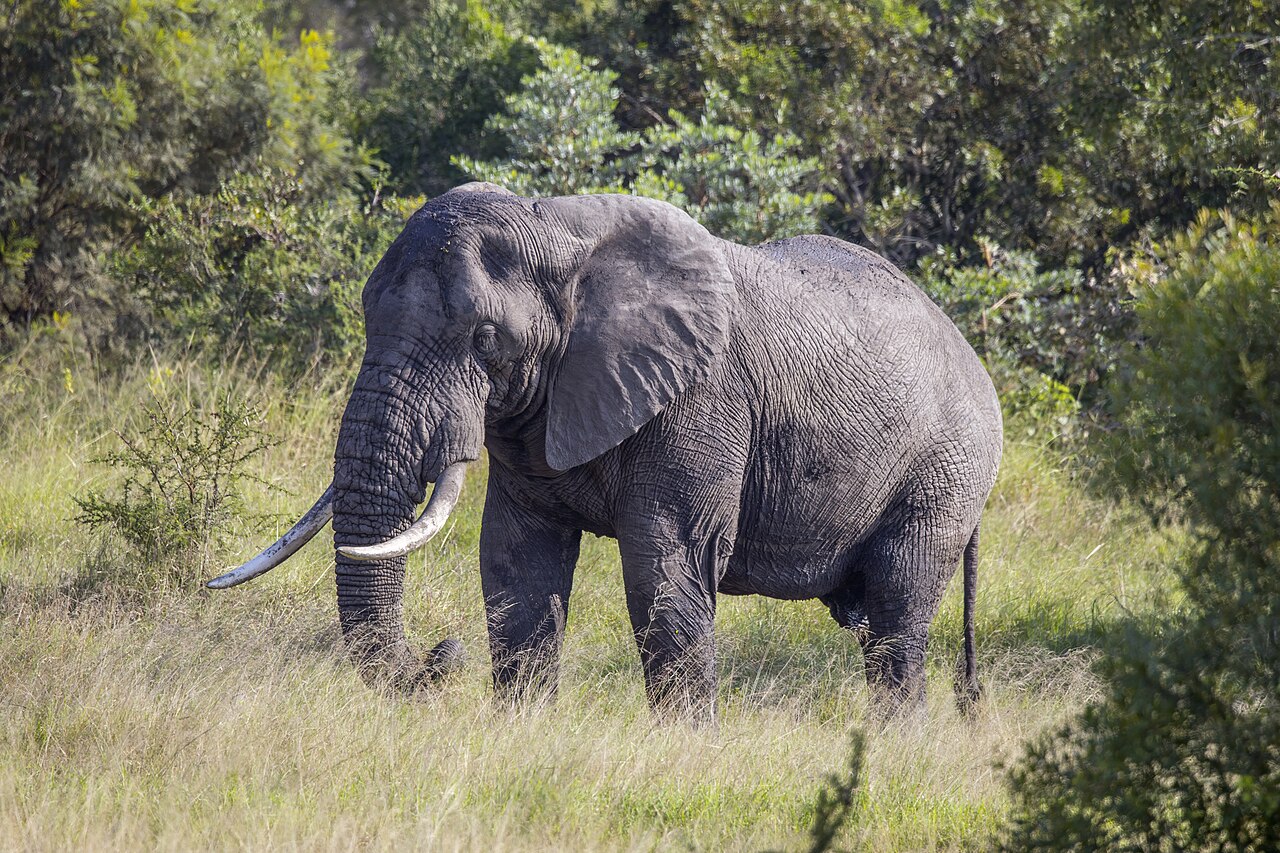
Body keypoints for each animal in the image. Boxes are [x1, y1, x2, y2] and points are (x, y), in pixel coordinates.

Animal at [208, 183, 1003, 720]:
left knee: (896, 618)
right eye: (366, 314)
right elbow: (516, 564)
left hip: (946, 472)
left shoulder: (699, 402)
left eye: (484, 338)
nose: (440, 653)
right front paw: (520, 732)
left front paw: (685, 752)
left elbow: (665, 568)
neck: (557, 233)